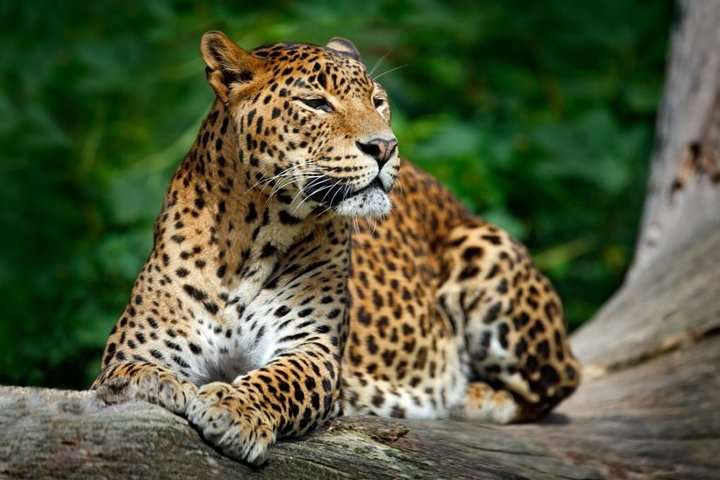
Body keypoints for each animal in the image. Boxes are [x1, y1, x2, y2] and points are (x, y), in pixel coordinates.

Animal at [92, 30, 580, 466]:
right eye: (316, 103)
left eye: (378, 101)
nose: (385, 146)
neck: (253, 236)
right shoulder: (136, 348)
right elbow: (129, 375)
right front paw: (161, 387)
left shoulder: (312, 347)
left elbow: (278, 380)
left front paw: (233, 410)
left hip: (485, 247)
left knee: (560, 381)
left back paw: (473, 395)